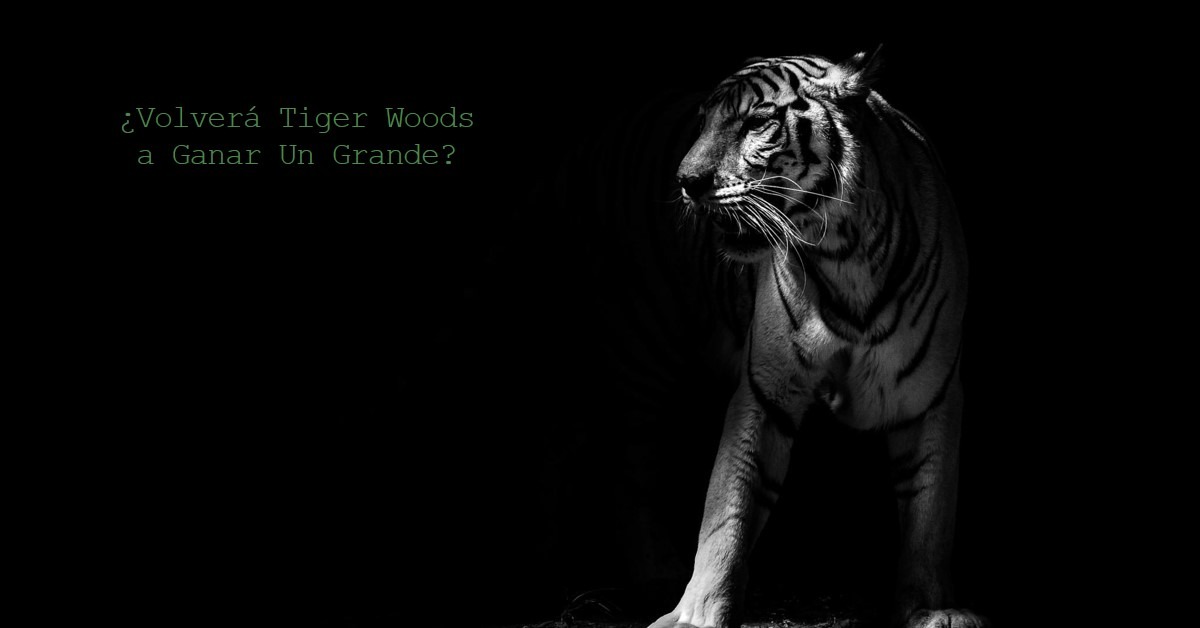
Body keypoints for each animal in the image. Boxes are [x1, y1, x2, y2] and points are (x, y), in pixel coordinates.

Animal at [646, 50, 984, 628]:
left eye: (756, 122)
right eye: (704, 122)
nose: (686, 181)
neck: (845, 257)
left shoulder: (930, 395)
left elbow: (930, 510)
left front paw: (930, 607)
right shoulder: (764, 390)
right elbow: (727, 507)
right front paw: (695, 614)